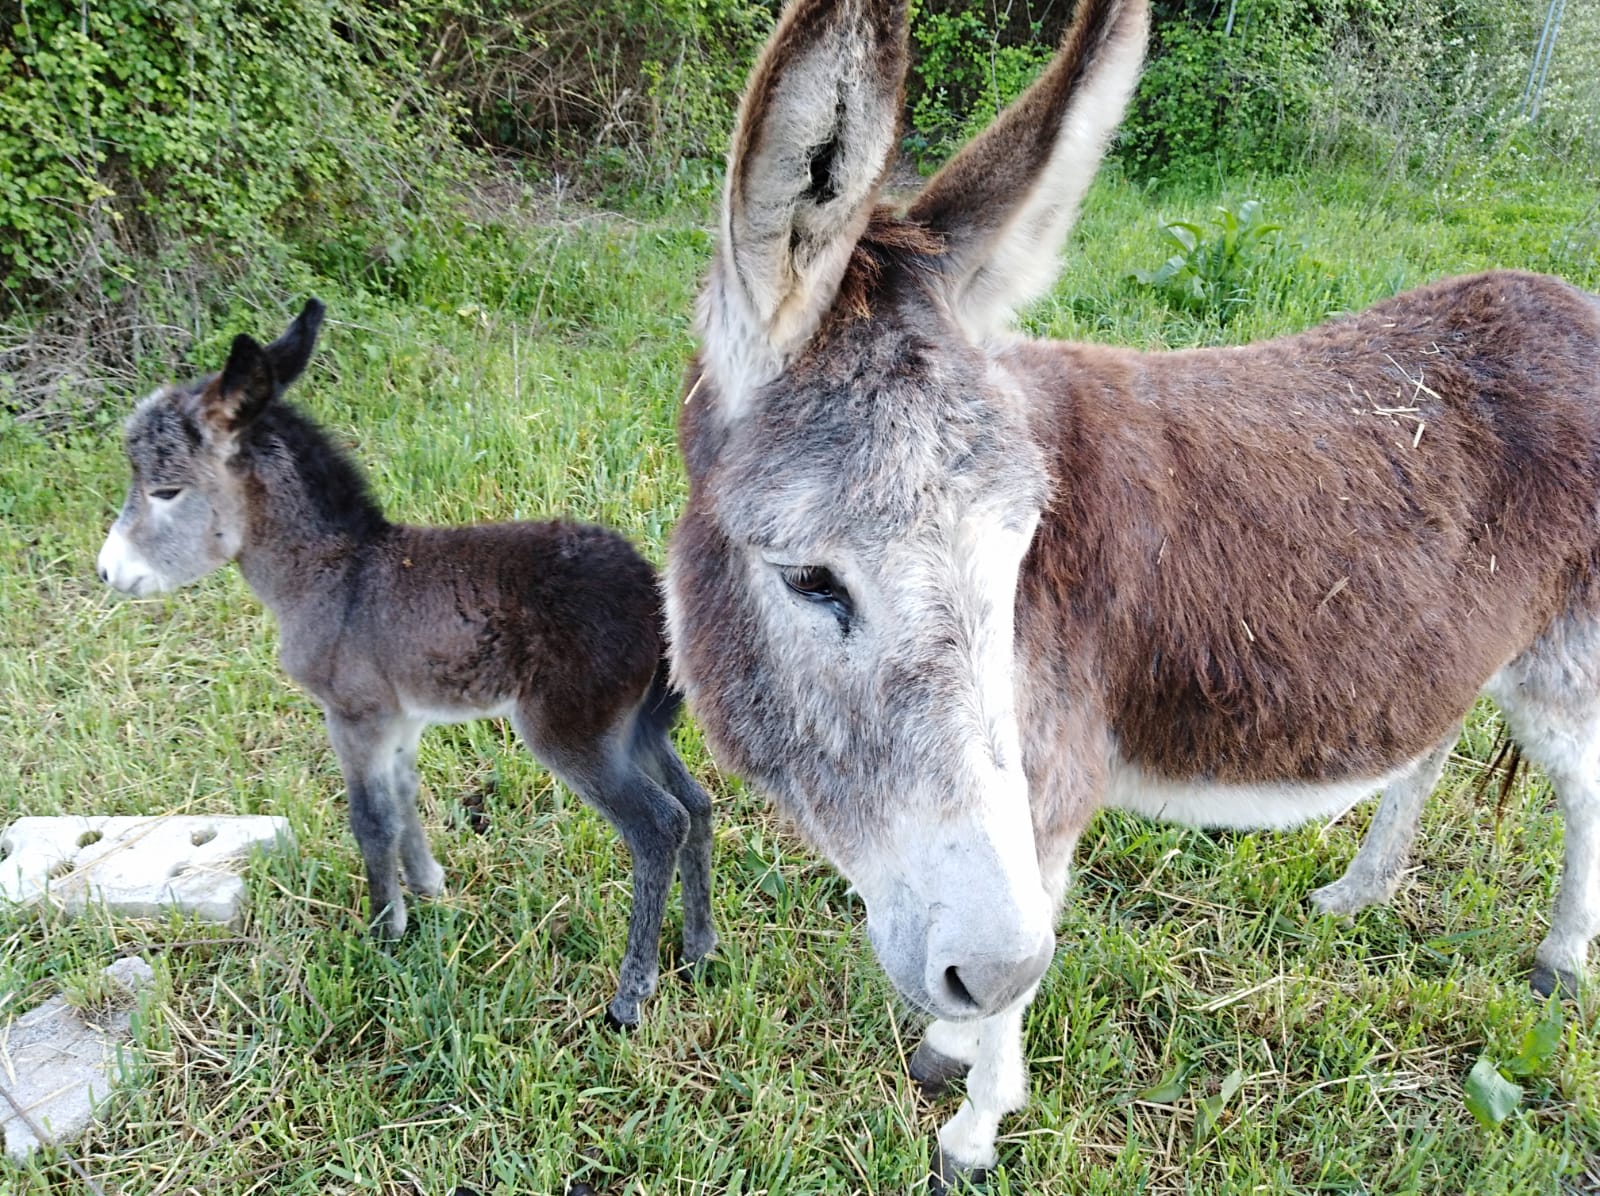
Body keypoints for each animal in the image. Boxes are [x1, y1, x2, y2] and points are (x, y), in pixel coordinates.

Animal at [98, 303, 713, 1023]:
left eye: (165, 491)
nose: (108, 572)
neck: (335, 573)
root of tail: (655, 601)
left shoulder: (352, 714)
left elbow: (370, 818)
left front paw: (383, 931)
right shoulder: (401, 718)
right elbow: (405, 798)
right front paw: (428, 890)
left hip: (573, 731)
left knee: (658, 826)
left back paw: (630, 994)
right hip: (638, 725)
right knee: (696, 805)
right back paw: (699, 951)